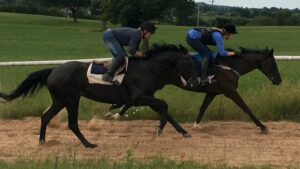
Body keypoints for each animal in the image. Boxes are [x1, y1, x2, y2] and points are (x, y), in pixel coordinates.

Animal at [109, 46, 282, 134]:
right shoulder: (230, 91)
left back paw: (116, 111)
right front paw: (263, 127)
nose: (279, 80)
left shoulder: (212, 92)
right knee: (135, 99)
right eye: (273, 63)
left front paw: (196, 124)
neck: (229, 66)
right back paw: (116, 112)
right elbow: (246, 108)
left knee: (136, 99)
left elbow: (203, 108)